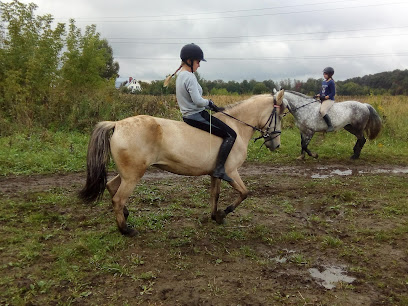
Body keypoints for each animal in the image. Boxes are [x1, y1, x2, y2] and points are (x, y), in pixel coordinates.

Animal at [78, 89, 286, 235]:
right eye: (281, 115)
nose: (276, 145)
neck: (236, 127)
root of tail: (117, 124)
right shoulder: (231, 172)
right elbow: (244, 193)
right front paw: (222, 214)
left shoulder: (216, 173)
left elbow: (215, 194)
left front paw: (215, 216)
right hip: (133, 176)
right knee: (118, 199)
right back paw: (126, 230)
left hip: (127, 173)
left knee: (111, 187)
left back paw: (126, 217)